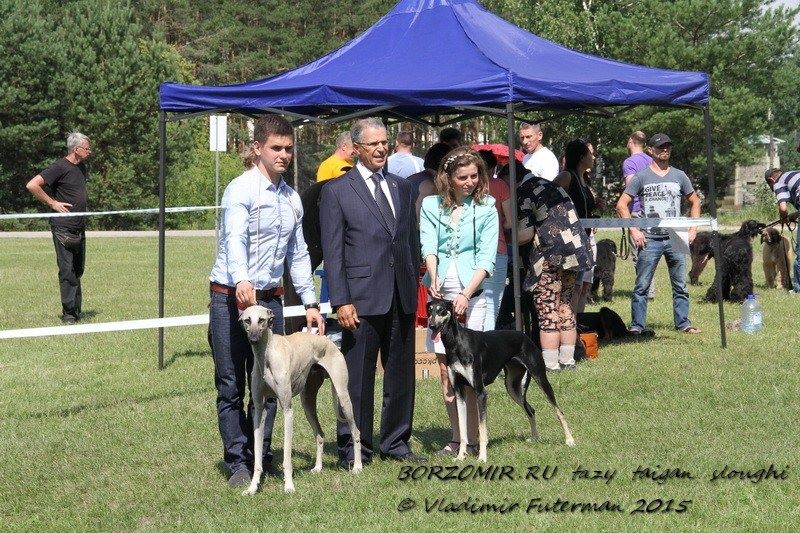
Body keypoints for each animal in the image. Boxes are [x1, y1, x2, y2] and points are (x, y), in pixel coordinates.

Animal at [238, 304, 362, 494]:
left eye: (261, 320)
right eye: (247, 320)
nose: (253, 339)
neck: (267, 356)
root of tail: (326, 340)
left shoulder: (287, 410)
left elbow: (287, 458)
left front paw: (289, 486)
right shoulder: (259, 410)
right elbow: (258, 458)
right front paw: (252, 488)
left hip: (343, 397)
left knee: (356, 432)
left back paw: (357, 467)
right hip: (308, 402)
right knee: (320, 434)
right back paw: (318, 468)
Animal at [424, 298, 576, 460]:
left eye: (441, 310)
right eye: (430, 311)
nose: (431, 326)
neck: (456, 343)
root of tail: (524, 335)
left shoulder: (481, 393)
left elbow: (482, 429)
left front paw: (482, 458)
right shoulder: (458, 393)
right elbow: (462, 429)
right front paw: (460, 456)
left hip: (540, 378)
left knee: (559, 411)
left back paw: (569, 440)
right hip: (513, 387)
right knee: (531, 409)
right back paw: (535, 437)